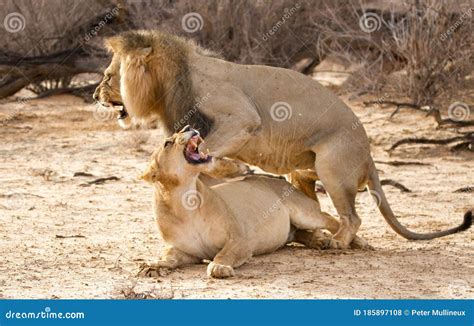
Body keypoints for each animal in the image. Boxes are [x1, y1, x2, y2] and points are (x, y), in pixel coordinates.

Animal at [94, 31, 472, 250]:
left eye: (108, 76)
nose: (96, 95)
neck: (173, 80)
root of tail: (368, 152)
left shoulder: (241, 117)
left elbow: (210, 152)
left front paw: (236, 169)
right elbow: (204, 163)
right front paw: (234, 171)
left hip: (333, 167)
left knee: (351, 216)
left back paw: (337, 243)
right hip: (302, 173)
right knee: (320, 208)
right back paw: (334, 240)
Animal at [139, 125, 368, 278]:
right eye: (167, 143)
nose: (188, 126)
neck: (184, 201)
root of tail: (280, 181)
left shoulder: (241, 239)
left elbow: (225, 254)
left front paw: (219, 267)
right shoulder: (185, 250)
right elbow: (169, 255)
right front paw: (153, 265)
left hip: (304, 213)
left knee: (332, 218)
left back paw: (347, 241)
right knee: (300, 233)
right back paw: (320, 240)